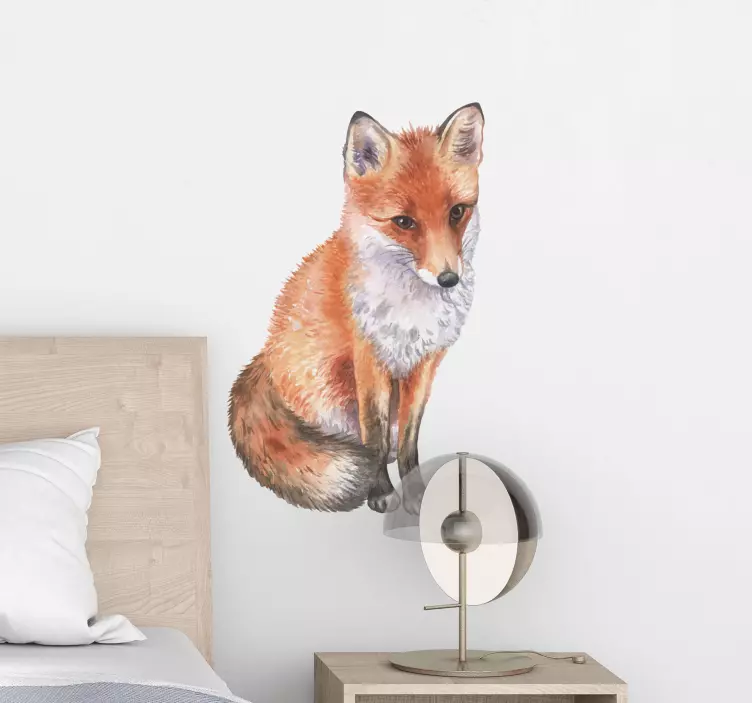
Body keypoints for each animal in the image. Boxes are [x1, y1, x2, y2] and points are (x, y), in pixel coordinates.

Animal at [229, 103, 484, 513]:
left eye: (457, 212)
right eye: (404, 222)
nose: (448, 279)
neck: (411, 313)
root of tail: (262, 361)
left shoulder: (424, 364)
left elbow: (409, 439)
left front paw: (415, 491)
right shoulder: (368, 359)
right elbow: (374, 437)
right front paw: (380, 491)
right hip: (328, 390)